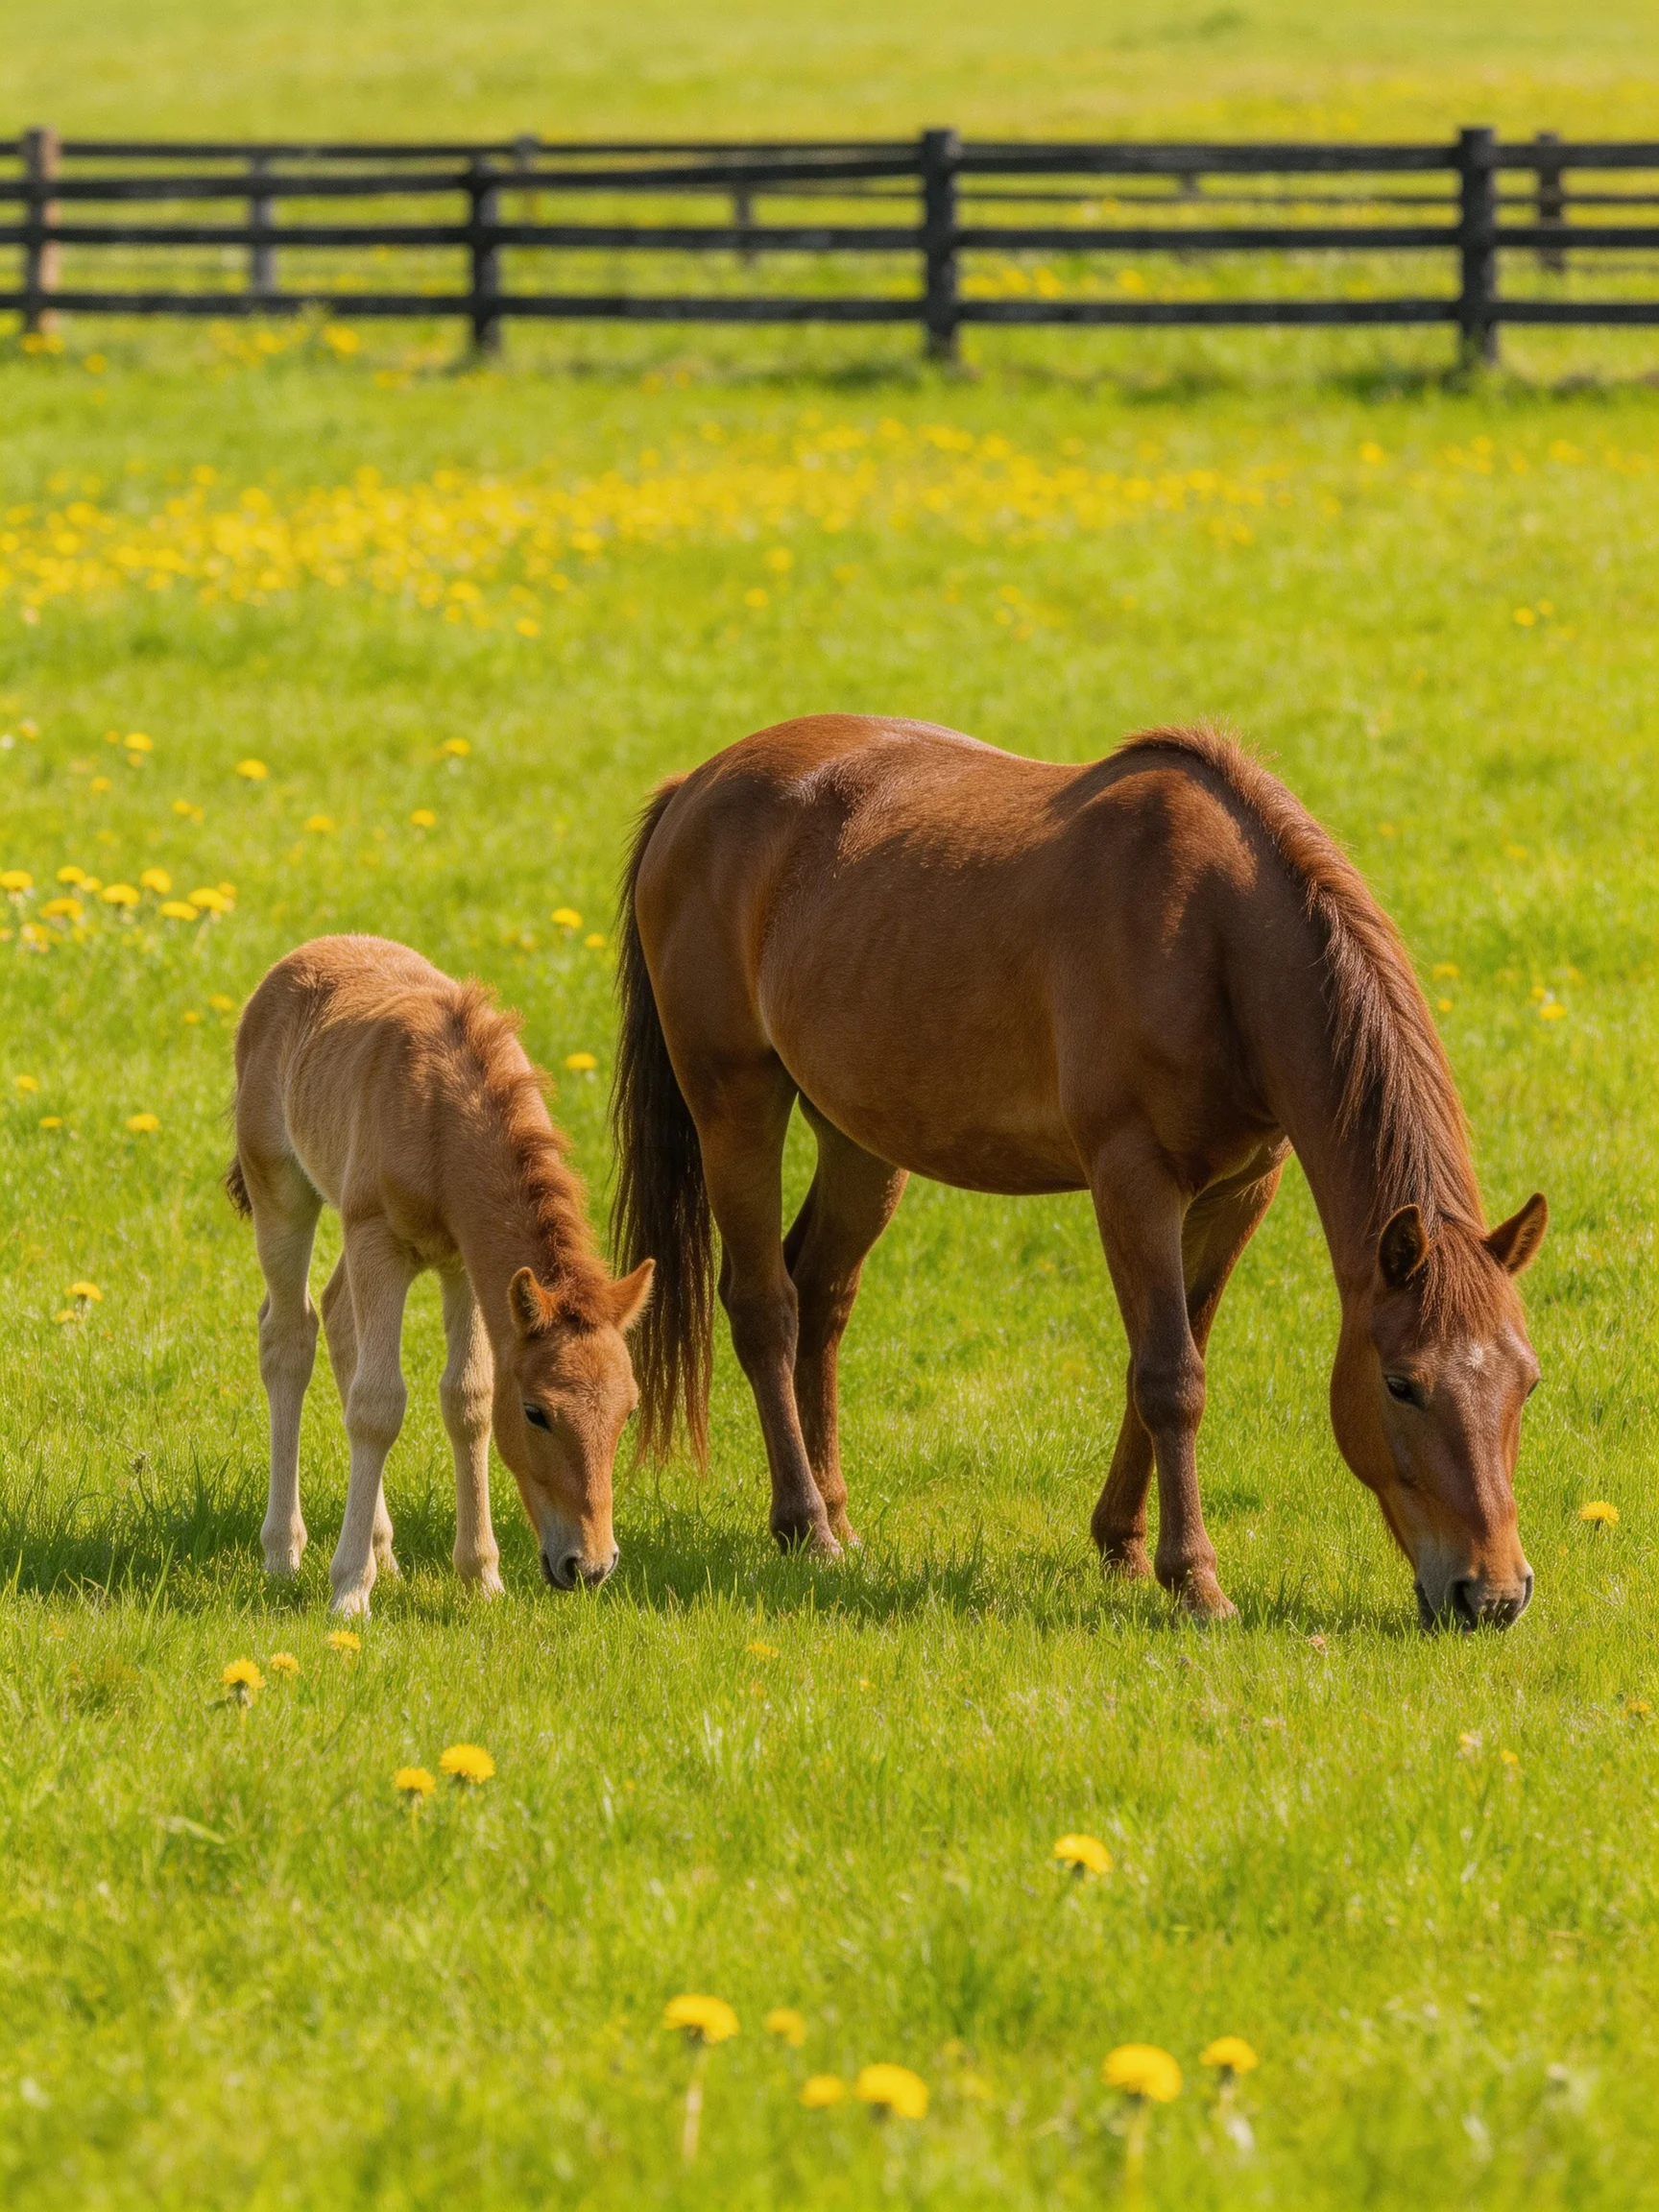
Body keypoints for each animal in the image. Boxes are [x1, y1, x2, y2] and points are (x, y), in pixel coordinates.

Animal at [227, 936, 653, 1617]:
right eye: (536, 1413)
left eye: (629, 1412)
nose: (588, 1566)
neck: (443, 1114)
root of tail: (296, 960)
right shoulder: (378, 1240)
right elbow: (378, 1405)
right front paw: (348, 1589)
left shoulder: (466, 1267)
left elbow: (468, 1399)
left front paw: (481, 1577)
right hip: (281, 1191)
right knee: (289, 1336)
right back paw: (284, 1555)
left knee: (339, 1318)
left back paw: (385, 1554)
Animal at [611, 718, 1547, 1631]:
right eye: (1401, 1384)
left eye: (1528, 1380)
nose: (1493, 1594)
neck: (1215, 939)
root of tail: (692, 789)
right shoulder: (1132, 1178)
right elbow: (1171, 1375)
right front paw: (1194, 1581)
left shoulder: (1239, 1191)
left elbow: (1169, 1354)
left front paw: (1123, 1548)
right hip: (736, 1104)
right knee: (765, 1307)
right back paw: (805, 1526)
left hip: (858, 1139)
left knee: (821, 1295)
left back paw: (836, 1514)